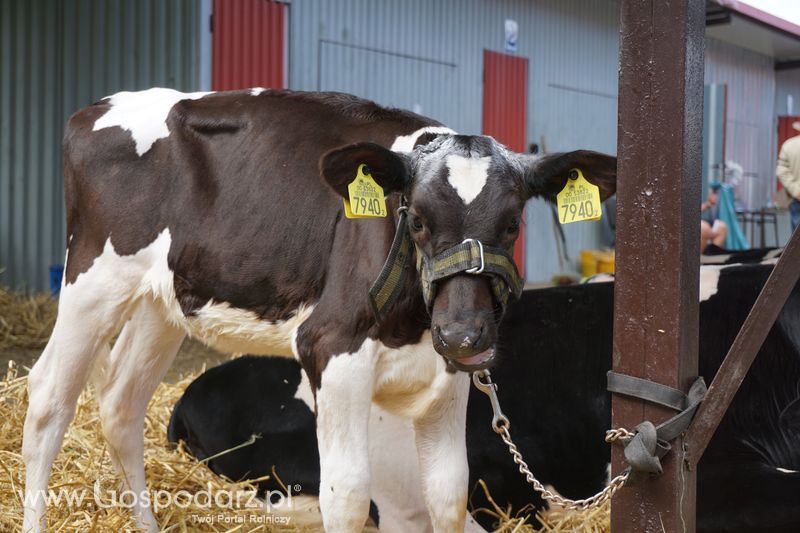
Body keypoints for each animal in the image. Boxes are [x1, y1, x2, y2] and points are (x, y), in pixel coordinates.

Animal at [21, 88, 616, 532]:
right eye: (417, 220)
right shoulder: (330, 348)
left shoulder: (447, 376)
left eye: (512, 224)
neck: (411, 325)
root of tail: (95, 109)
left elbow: (448, 493)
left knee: (121, 403)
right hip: (93, 279)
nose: (464, 335)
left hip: (159, 303)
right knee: (48, 400)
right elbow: (347, 498)